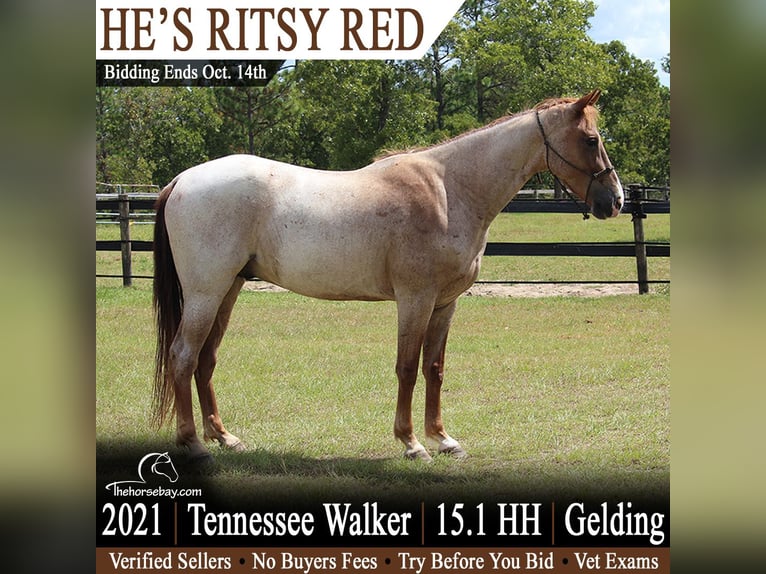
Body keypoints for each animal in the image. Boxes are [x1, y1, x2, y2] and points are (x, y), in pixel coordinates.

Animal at [152, 89, 623, 462]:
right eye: (591, 139)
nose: (616, 201)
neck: (449, 190)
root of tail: (182, 180)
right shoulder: (415, 299)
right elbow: (408, 368)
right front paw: (411, 443)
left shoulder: (445, 304)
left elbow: (434, 368)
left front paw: (443, 439)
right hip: (205, 292)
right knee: (183, 357)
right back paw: (193, 442)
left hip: (227, 290)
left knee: (206, 360)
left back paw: (224, 437)